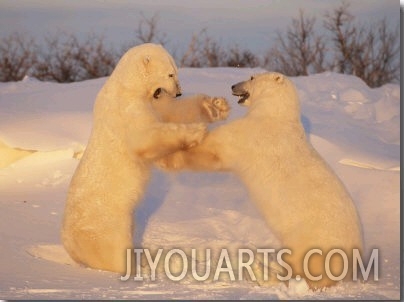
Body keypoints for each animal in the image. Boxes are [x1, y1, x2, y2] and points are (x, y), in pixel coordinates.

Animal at [61, 44, 229, 274]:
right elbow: (146, 137)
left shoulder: (153, 102)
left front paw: (215, 106)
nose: (178, 92)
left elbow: (172, 112)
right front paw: (196, 132)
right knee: (113, 250)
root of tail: (68, 244)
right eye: (170, 74)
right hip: (105, 224)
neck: (128, 85)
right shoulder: (126, 108)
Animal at [158, 72, 362, 290]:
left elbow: (213, 151)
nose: (233, 86)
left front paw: (166, 157)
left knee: (304, 269)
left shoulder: (251, 134)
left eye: (251, 77)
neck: (275, 114)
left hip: (314, 239)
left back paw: (262, 272)